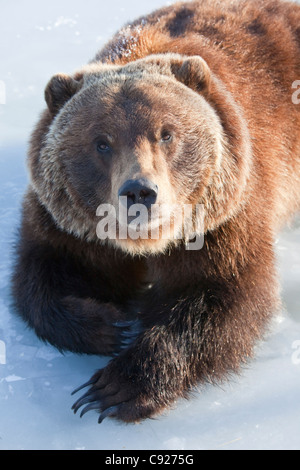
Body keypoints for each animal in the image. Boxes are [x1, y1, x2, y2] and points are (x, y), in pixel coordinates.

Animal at [11, 0, 300, 422]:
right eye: (101, 142)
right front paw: (111, 326)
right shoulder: (68, 223)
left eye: (166, 133)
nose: (139, 191)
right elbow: (42, 275)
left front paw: (116, 387)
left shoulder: (225, 214)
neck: (145, 245)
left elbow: (226, 295)